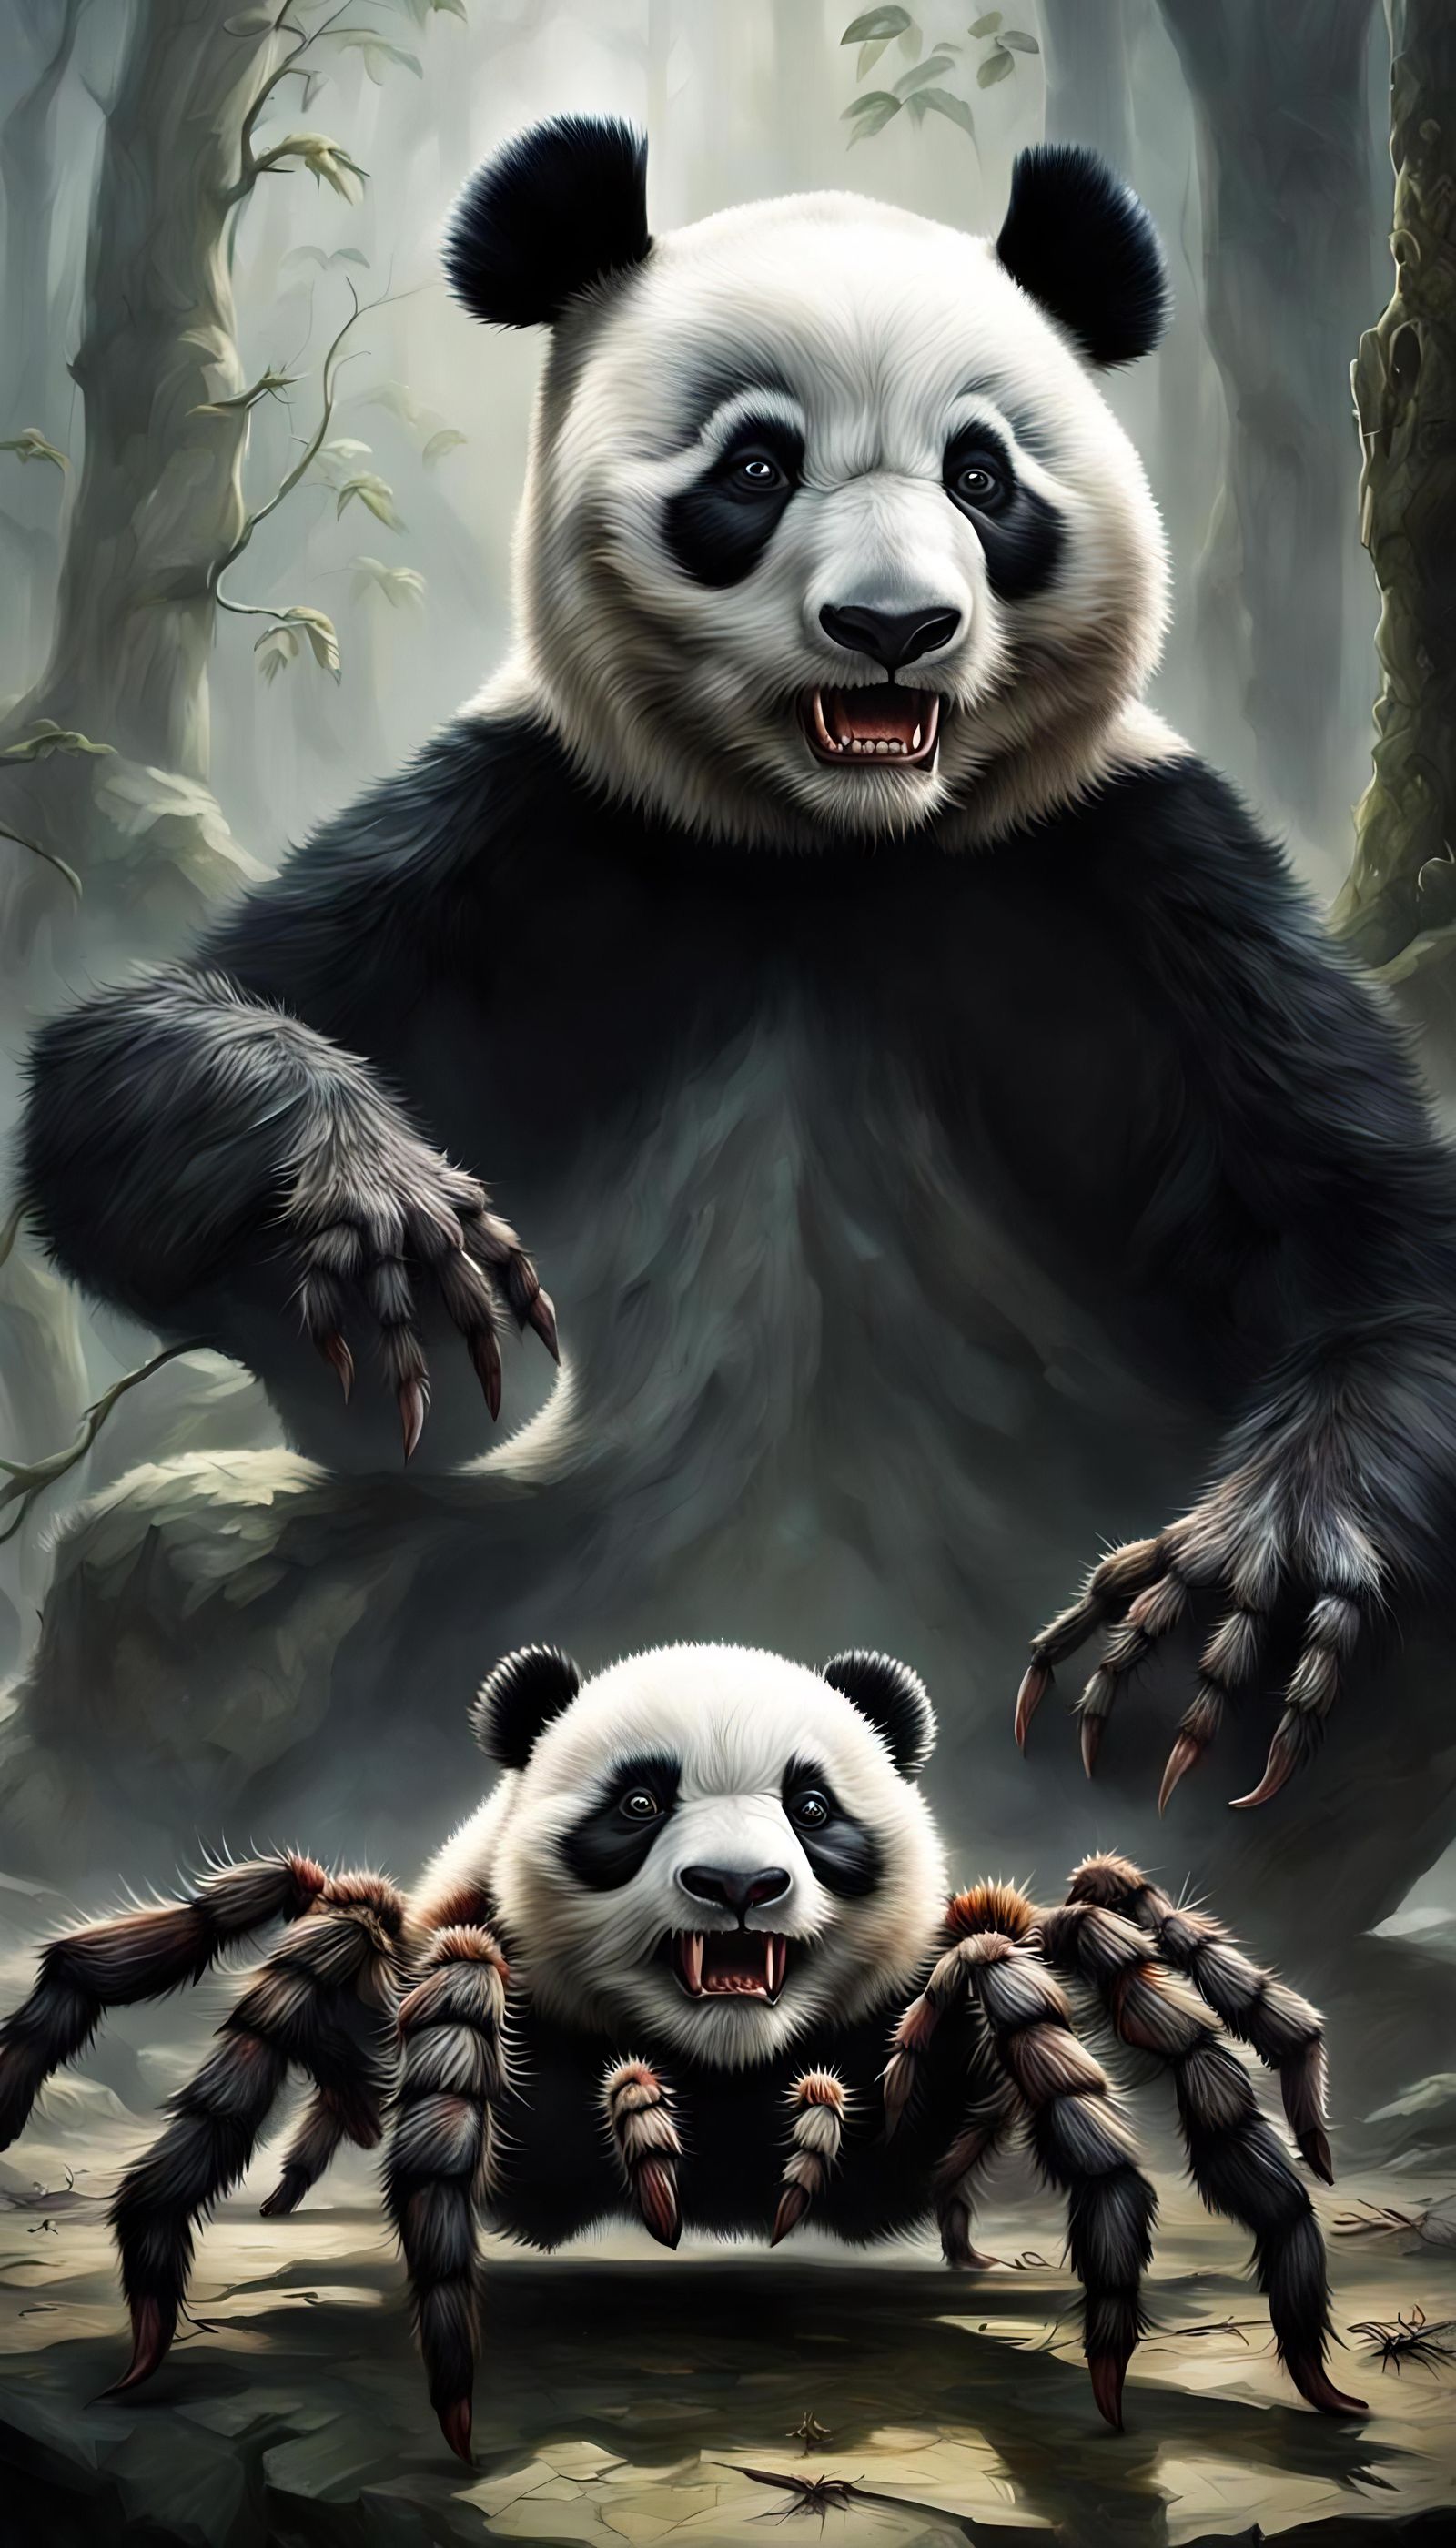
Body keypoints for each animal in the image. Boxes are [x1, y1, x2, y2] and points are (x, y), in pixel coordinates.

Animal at [0, 1639, 1360, 2459]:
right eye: (638, 1804)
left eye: (813, 1807)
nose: (740, 1887)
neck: (723, 2063)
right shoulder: (467, 1965)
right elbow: (376, 2005)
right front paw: (452, 2399)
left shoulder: (960, 1982)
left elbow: (1101, 1966)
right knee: (284, 1928)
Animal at [16, 119, 1456, 2000]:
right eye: (757, 465)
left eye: (983, 475)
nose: (897, 627)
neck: (839, 848)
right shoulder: (541, 828)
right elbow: (146, 1046)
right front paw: (375, 1248)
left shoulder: (1137, 865)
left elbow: (1359, 1214)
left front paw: (1253, 1578)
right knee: (171, 1583)